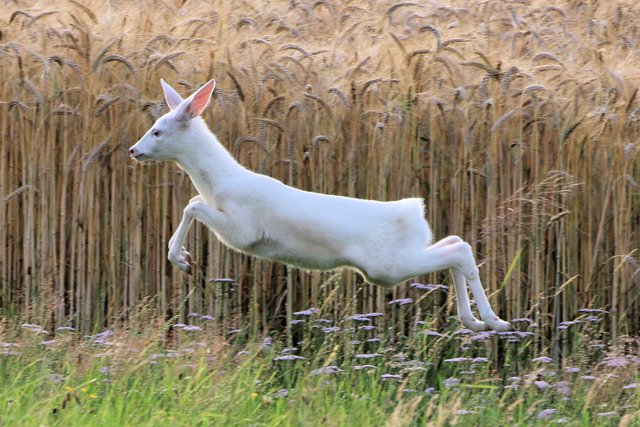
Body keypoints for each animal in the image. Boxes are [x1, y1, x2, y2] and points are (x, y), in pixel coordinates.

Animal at [129, 80, 510, 334]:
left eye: (158, 131)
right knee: (454, 244)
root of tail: (414, 212)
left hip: (387, 266)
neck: (221, 183)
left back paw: (495, 321)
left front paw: (181, 260)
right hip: (397, 260)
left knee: (459, 250)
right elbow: (193, 201)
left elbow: (191, 207)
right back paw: (475, 322)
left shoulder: (243, 230)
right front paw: (182, 257)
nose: (134, 150)